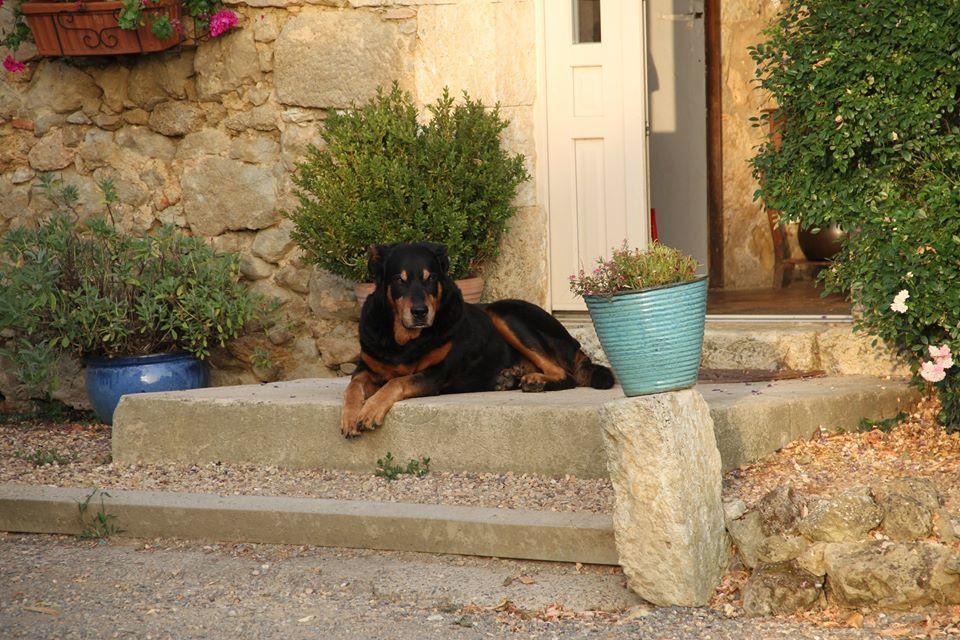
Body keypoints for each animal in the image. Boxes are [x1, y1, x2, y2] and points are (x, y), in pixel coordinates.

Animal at [344, 242, 616, 438]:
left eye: (430, 278)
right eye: (399, 280)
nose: (420, 312)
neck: (405, 340)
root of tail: (573, 342)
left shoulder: (435, 375)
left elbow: (397, 382)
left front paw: (370, 411)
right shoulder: (366, 368)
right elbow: (353, 386)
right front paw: (350, 416)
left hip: (503, 312)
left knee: (565, 375)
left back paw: (535, 381)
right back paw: (509, 377)